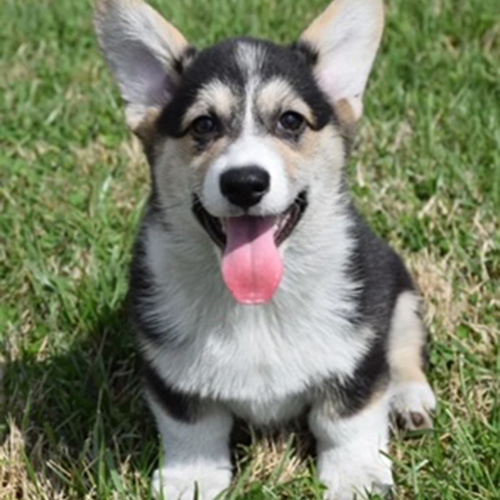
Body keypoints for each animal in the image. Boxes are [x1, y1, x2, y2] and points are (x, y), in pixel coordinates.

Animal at [94, 1, 438, 498]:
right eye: (204, 124)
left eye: (290, 121)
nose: (244, 183)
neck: (257, 304)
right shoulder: (171, 372)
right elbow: (192, 428)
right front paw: (190, 479)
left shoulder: (360, 348)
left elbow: (347, 419)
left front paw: (356, 476)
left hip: (402, 291)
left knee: (405, 347)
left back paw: (410, 398)